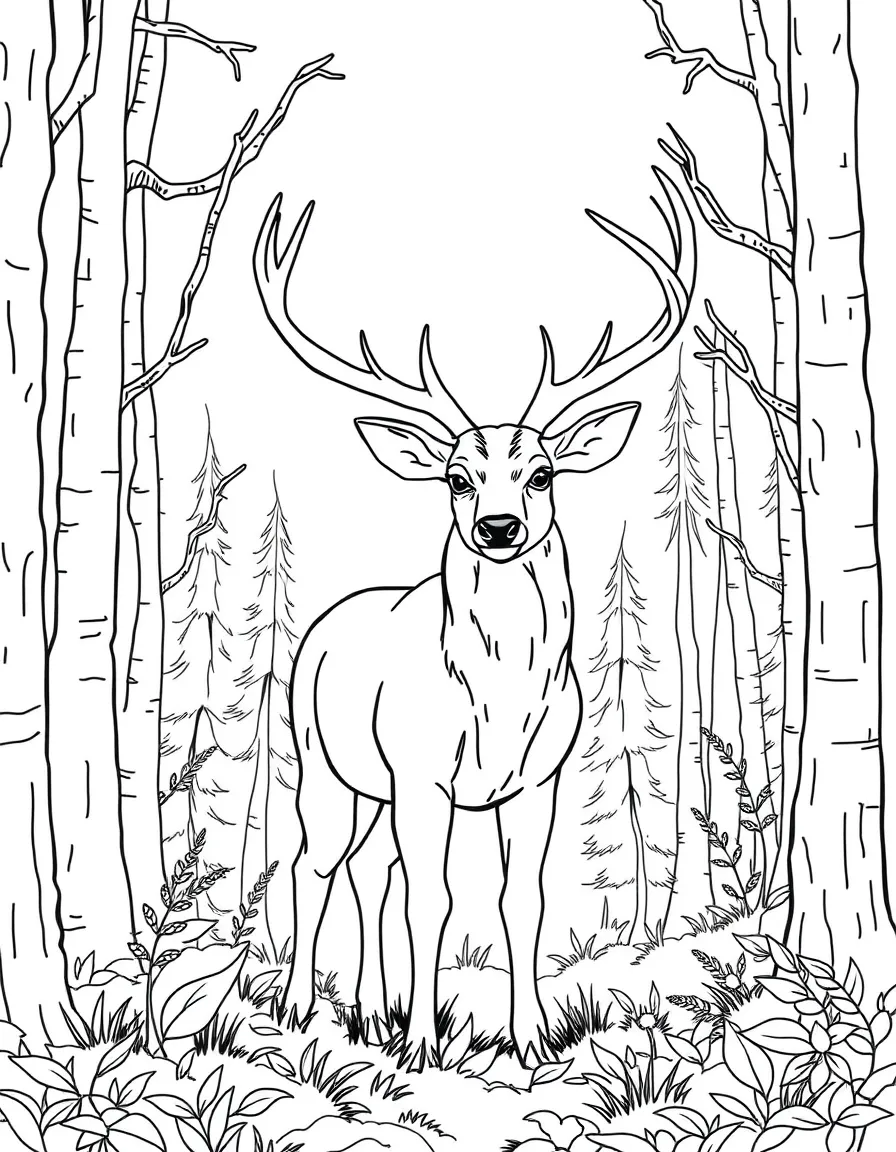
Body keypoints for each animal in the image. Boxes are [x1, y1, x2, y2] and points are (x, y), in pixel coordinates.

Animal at [253, 169, 695, 1070]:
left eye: (542, 473)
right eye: (457, 477)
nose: (498, 527)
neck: (501, 696)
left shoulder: (537, 778)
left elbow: (520, 898)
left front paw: (531, 1040)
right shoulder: (424, 773)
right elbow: (435, 899)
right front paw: (423, 1043)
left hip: (377, 791)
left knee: (369, 872)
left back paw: (370, 1007)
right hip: (325, 766)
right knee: (315, 866)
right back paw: (301, 1008)